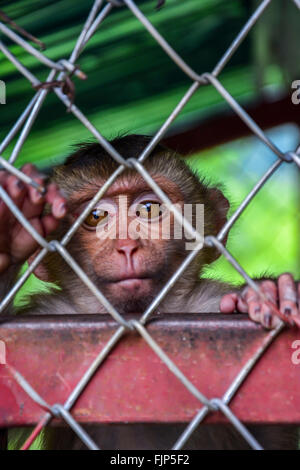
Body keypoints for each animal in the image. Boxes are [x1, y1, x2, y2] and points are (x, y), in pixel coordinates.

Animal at [0, 134, 298, 450]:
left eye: (149, 209)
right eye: (96, 216)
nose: (127, 245)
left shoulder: (209, 303)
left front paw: (272, 291)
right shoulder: (52, 313)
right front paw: (9, 229)